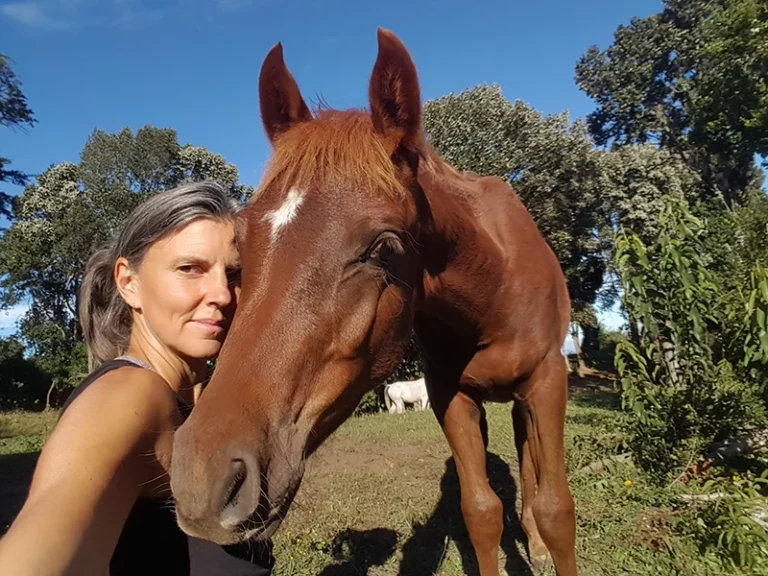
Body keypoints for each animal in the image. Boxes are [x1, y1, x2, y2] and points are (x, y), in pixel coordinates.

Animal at [169, 28, 577, 576]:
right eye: (244, 242)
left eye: (384, 248)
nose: (201, 478)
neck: (489, 293)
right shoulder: (451, 398)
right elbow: (482, 511)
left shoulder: (549, 381)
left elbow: (556, 510)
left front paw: (543, 538)